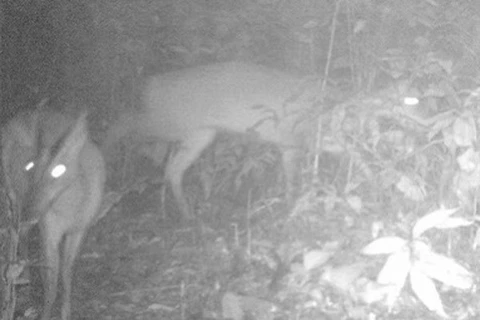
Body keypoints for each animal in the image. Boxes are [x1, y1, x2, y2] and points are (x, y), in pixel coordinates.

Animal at [0, 107, 106, 320]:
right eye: (30, 167)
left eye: (59, 170)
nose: (29, 210)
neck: (71, 210)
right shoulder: (48, 227)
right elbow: (50, 281)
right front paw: (46, 314)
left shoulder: (79, 229)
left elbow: (66, 272)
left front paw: (66, 312)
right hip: (12, 195)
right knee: (17, 235)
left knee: (23, 234)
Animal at [105, 61, 316, 219]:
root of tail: (153, 82)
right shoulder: (293, 140)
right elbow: (293, 178)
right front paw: (291, 207)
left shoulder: (289, 144)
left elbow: (290, 176)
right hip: (166, 124)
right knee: (125, 123)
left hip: (199, 135)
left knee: (171, 167)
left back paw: (186, 212)